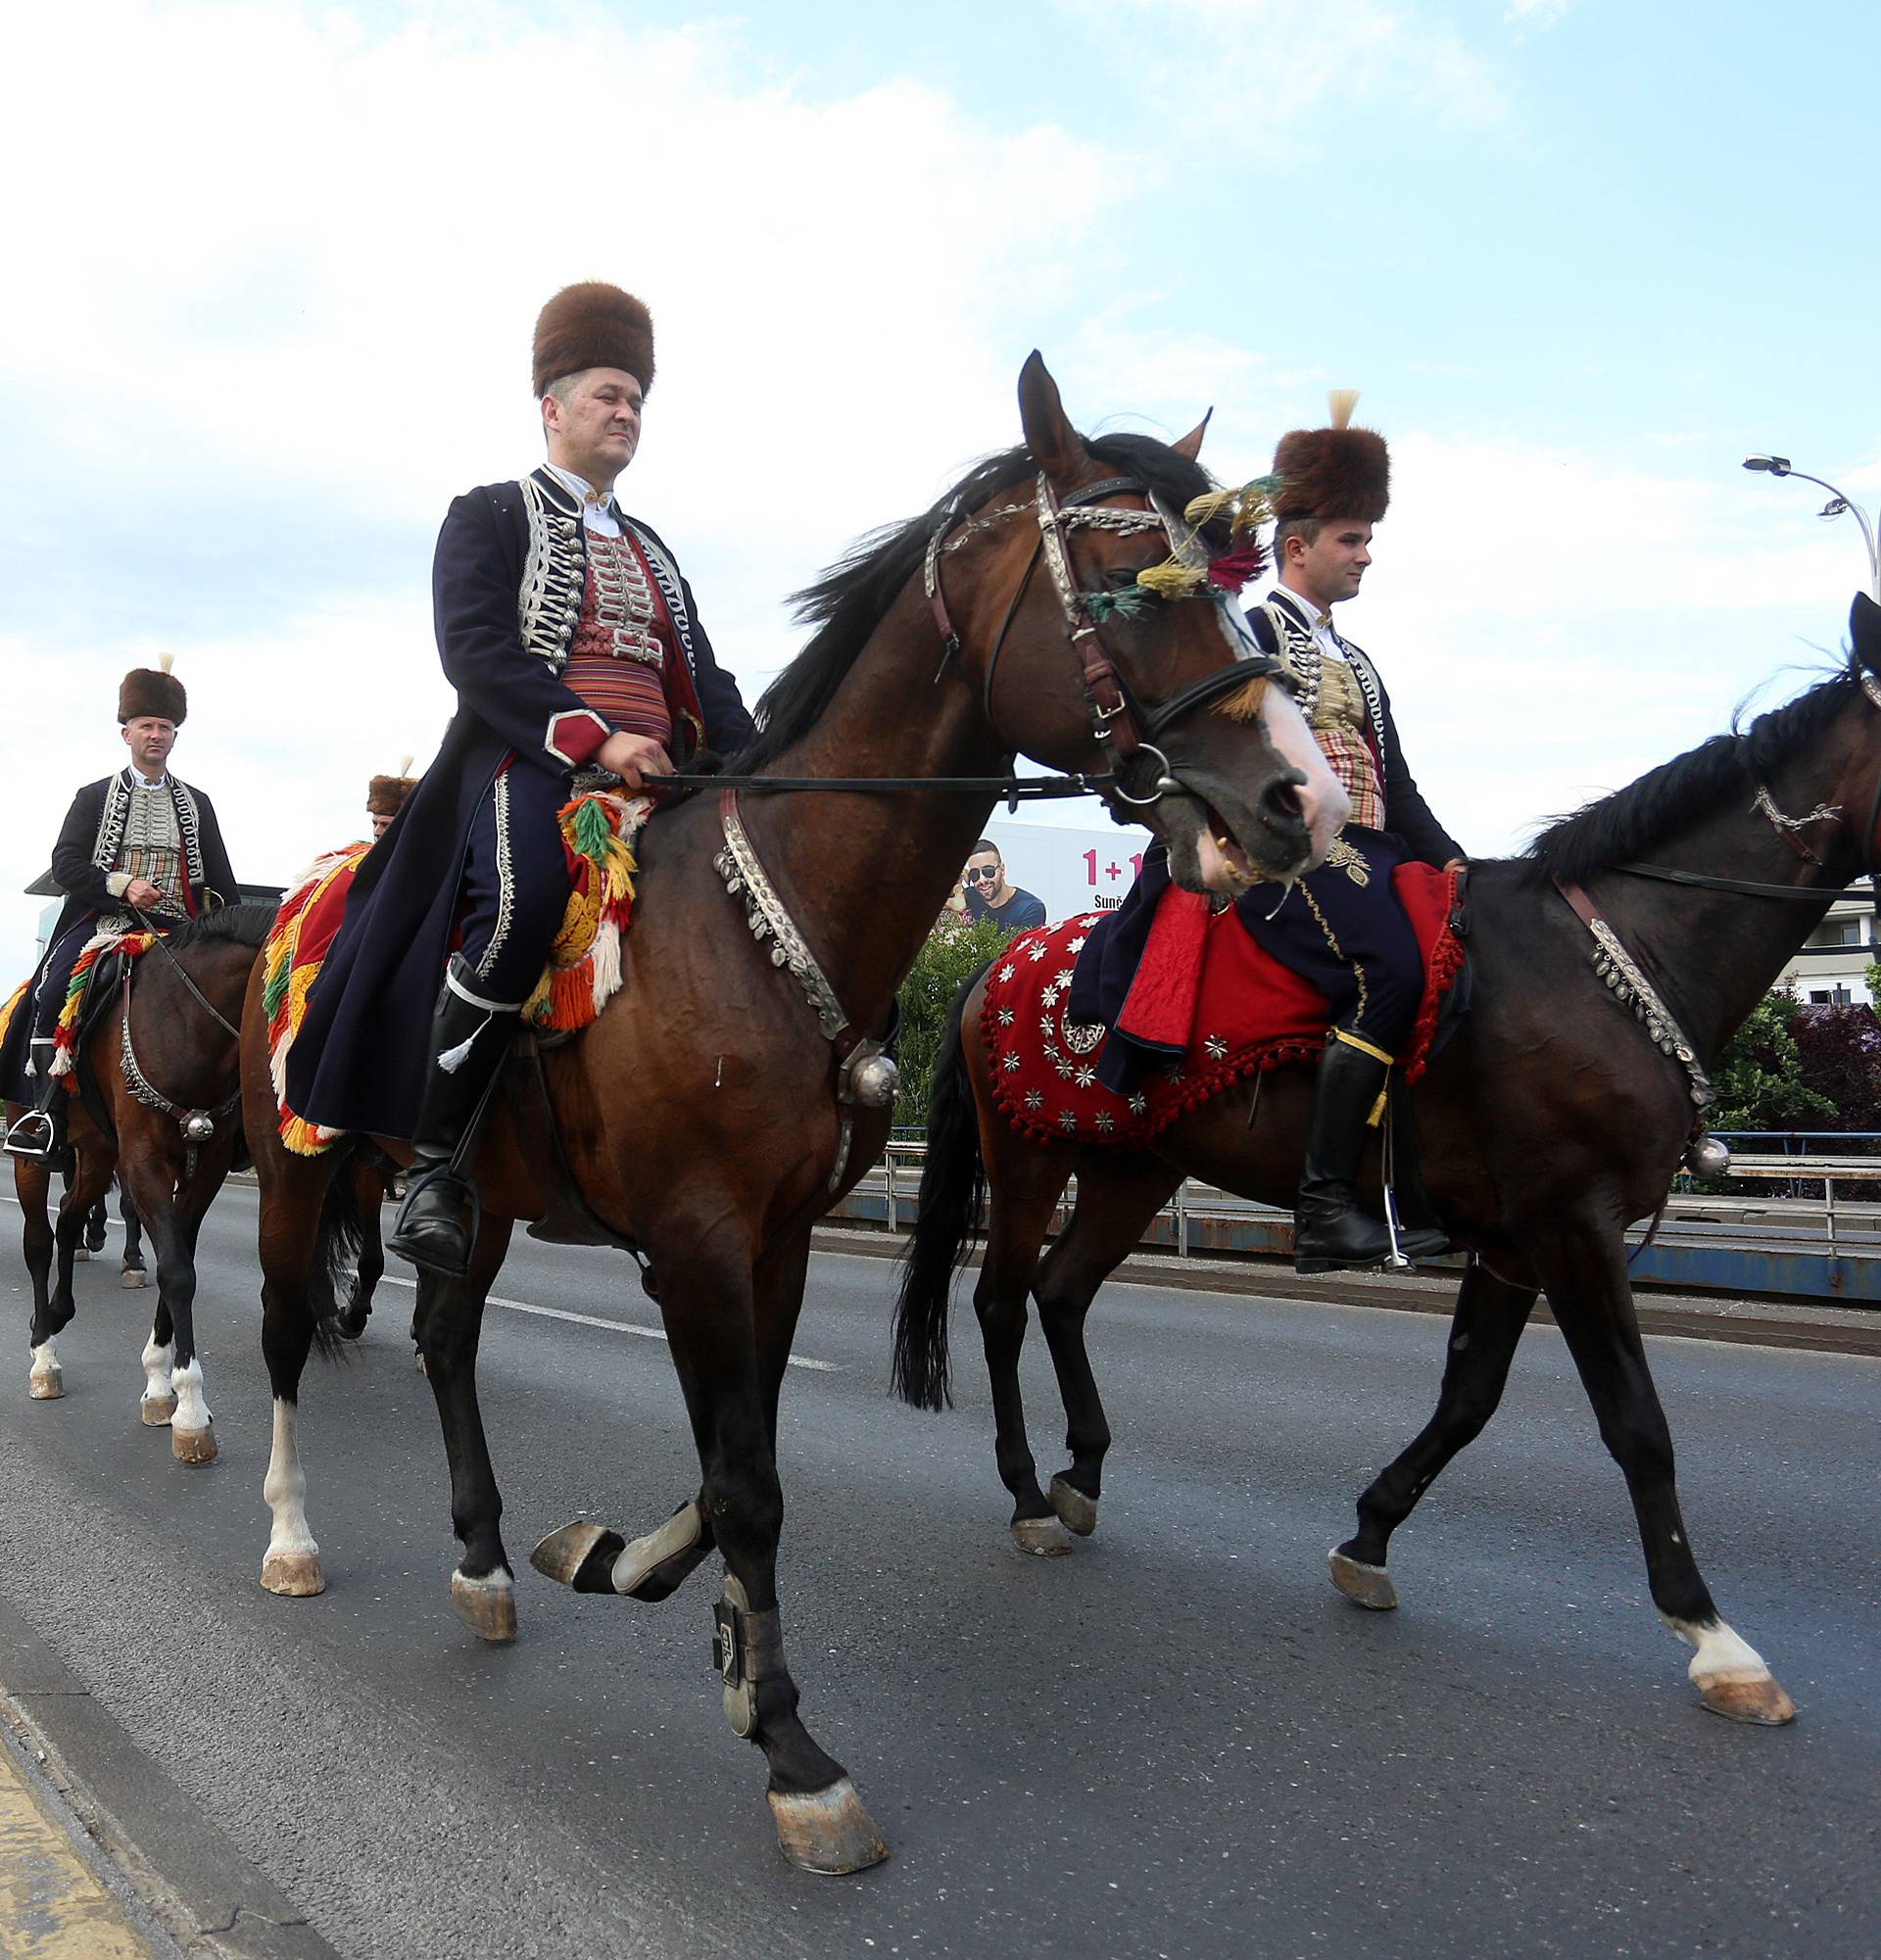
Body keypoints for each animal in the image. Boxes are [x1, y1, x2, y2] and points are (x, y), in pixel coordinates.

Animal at [8, 901, 272, 1458]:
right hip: (33, 1153)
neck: (187, 1024)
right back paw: (44, 1354)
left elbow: (179, 1260)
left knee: (68, 1219)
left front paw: (160, 1385)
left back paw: (59, 1310)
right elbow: (176, 1271)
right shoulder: (144, 1163)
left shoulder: (204, 1170)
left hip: (96, 1152)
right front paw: (190, 1409)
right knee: (39, 1241)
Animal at [243, 360, 1348, 1873]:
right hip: (298, 1163)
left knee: (445, 1337)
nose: (1302, 800)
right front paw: (792, 1754)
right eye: (1134, 583)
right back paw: (289, 1537)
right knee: (289, 1329)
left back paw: (480, 1559)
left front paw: (629, 1565)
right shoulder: (698, 1242)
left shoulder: (773, 1245)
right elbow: (748, 1487)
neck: (764, 919)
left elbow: (736, 1461)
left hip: (488, 1202)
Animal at [897, 584, 1881, 1732]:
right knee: (1003, 1301)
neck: (1609, 959)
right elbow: (1636, 1422)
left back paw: (1082, 1473)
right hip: (1030, 1153)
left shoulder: (1513, 1239)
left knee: (1060, 1291)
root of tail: (992, 964)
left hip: (1133, 1168)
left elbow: (1468, 1397)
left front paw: (1368, 1533)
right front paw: (1711, 1634)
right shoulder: (1572, 1223)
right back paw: (1025, 1493)